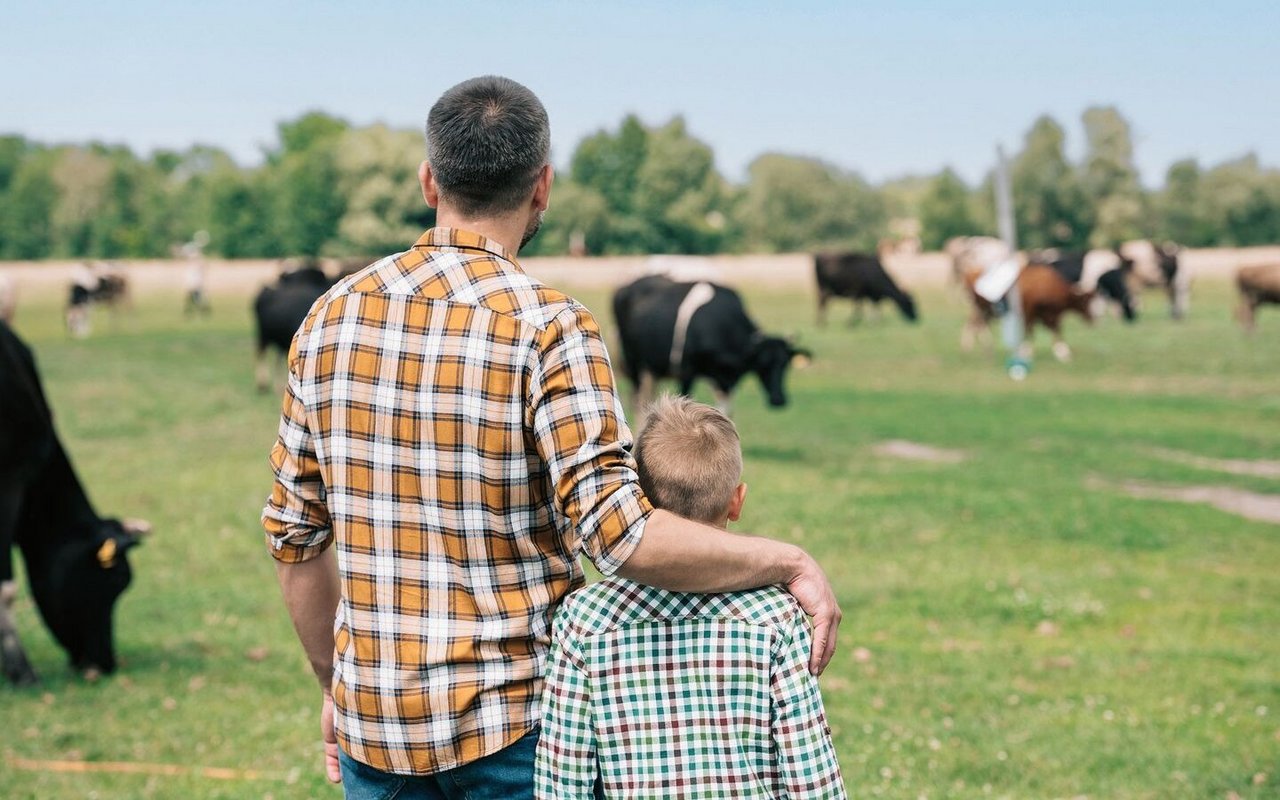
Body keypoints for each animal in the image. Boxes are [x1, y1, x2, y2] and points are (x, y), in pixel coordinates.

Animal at [611, 273, 808, 414]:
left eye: (785, 364)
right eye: (763, 363)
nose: (779, 400)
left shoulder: (727, 381)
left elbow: (725, 413)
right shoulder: (687, 371)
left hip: (652, 369)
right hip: (633, 362)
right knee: (637, 403)